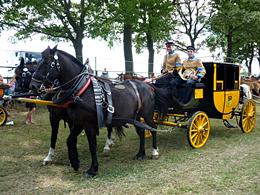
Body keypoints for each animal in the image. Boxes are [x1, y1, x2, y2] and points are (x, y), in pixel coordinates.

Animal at [30, 46, 160, 178]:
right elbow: (69, 140)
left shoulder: (88, 124)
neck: (81, 89)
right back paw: (140, 154)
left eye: (47, 62)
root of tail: (148, 86)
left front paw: (93, 169)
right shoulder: (77, 122)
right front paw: (75, 163)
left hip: (147, 115)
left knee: (153, 128)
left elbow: (92, 146)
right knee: (141, 131)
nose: (32, 86)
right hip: (136, 117)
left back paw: (154, 151)